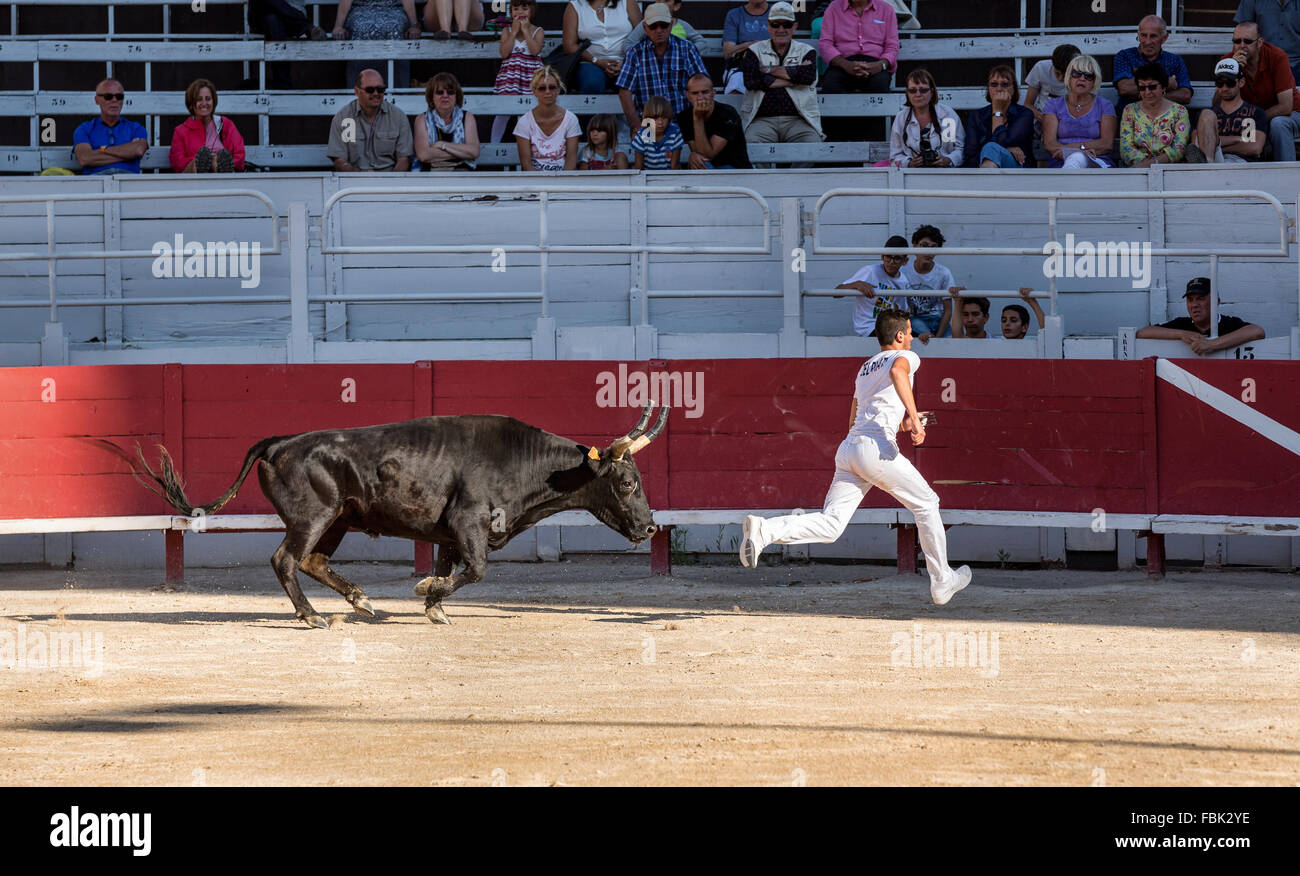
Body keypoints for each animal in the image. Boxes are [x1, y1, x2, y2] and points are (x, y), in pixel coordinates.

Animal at [133, 405, 670, 623]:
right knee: (286, 560)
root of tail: (280, 442)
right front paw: (427, 592)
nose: (649, 526)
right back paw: (312, 616)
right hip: (313, 516)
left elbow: (452, 567)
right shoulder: (469, 524)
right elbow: (476, 569)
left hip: (338, 520)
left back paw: (362, 602)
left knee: (312, 561)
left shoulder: (449, 533)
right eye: (628, 482)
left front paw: (435, 606)